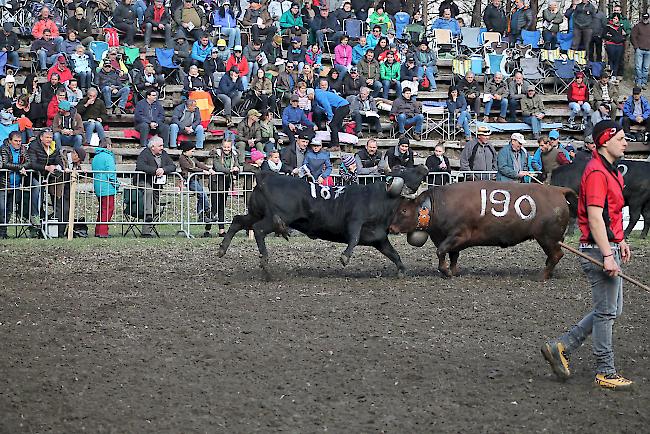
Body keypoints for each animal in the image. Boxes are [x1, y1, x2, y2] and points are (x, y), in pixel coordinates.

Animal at [218, 166, 430, 278]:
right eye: (405, 168)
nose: (424, 167)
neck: (384, 196)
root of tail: (264, 175)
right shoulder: (355, 220)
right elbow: (353, 238)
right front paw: (345, 257)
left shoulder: (378, 238)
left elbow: (392, 253)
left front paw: (402, 270)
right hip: (275, 218)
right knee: (258, 229)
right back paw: (265, 262)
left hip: (255, 213)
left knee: (238, 221)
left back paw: (222, 249)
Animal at [388, 181, 576, 280]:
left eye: (403, 210)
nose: (391, 227)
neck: (435, 206)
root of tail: (558, 190)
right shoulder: (450, 240)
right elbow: (453, 256)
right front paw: (454, 270)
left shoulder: (458, 235)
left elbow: (441, 251)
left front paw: (446, 271)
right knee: (553, 256)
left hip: (547, 237)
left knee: (557, 255)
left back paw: (542, 275)